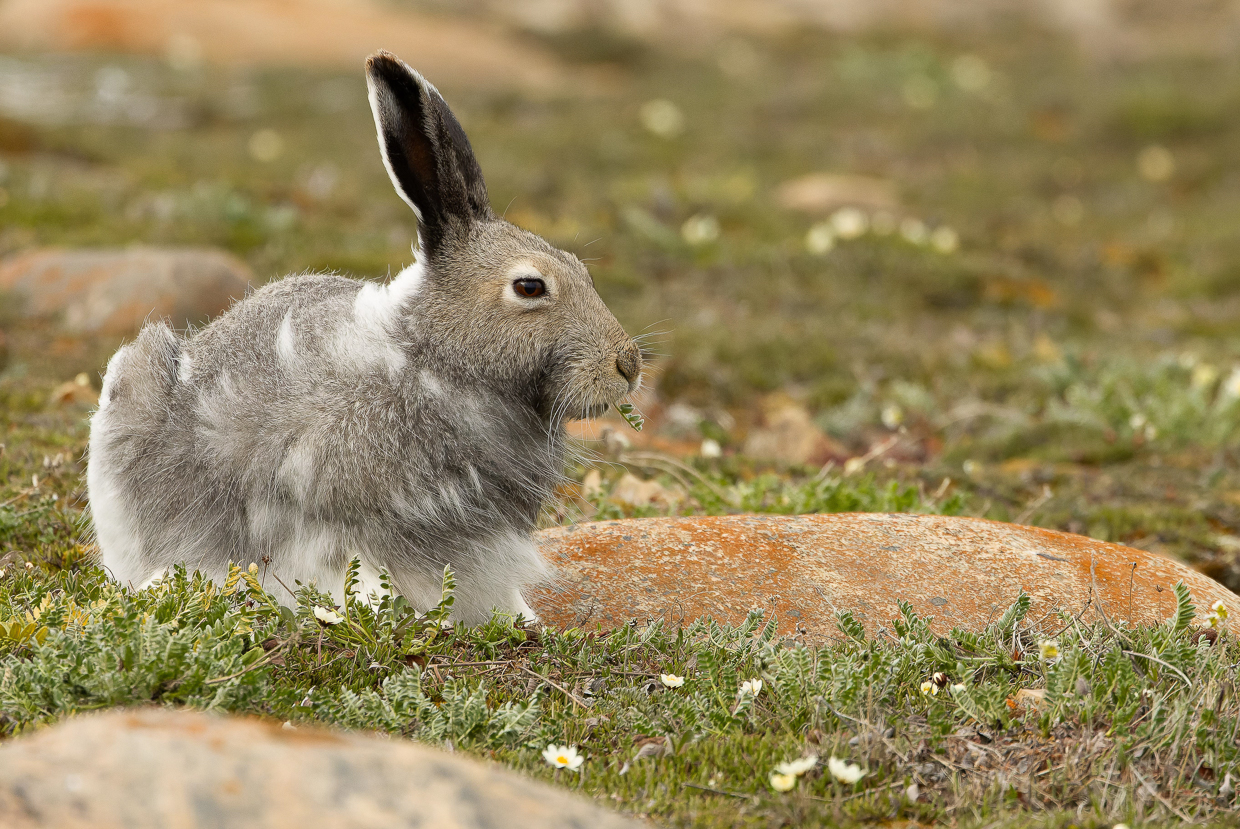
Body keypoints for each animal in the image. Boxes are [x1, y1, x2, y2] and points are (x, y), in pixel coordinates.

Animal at [86, 50, 643, 623]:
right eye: (530, 286)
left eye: (581, 268)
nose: (628, 365)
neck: (433, 361)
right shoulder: (333, 515)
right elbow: (352, 571)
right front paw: (369, 611)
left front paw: (524, 623)